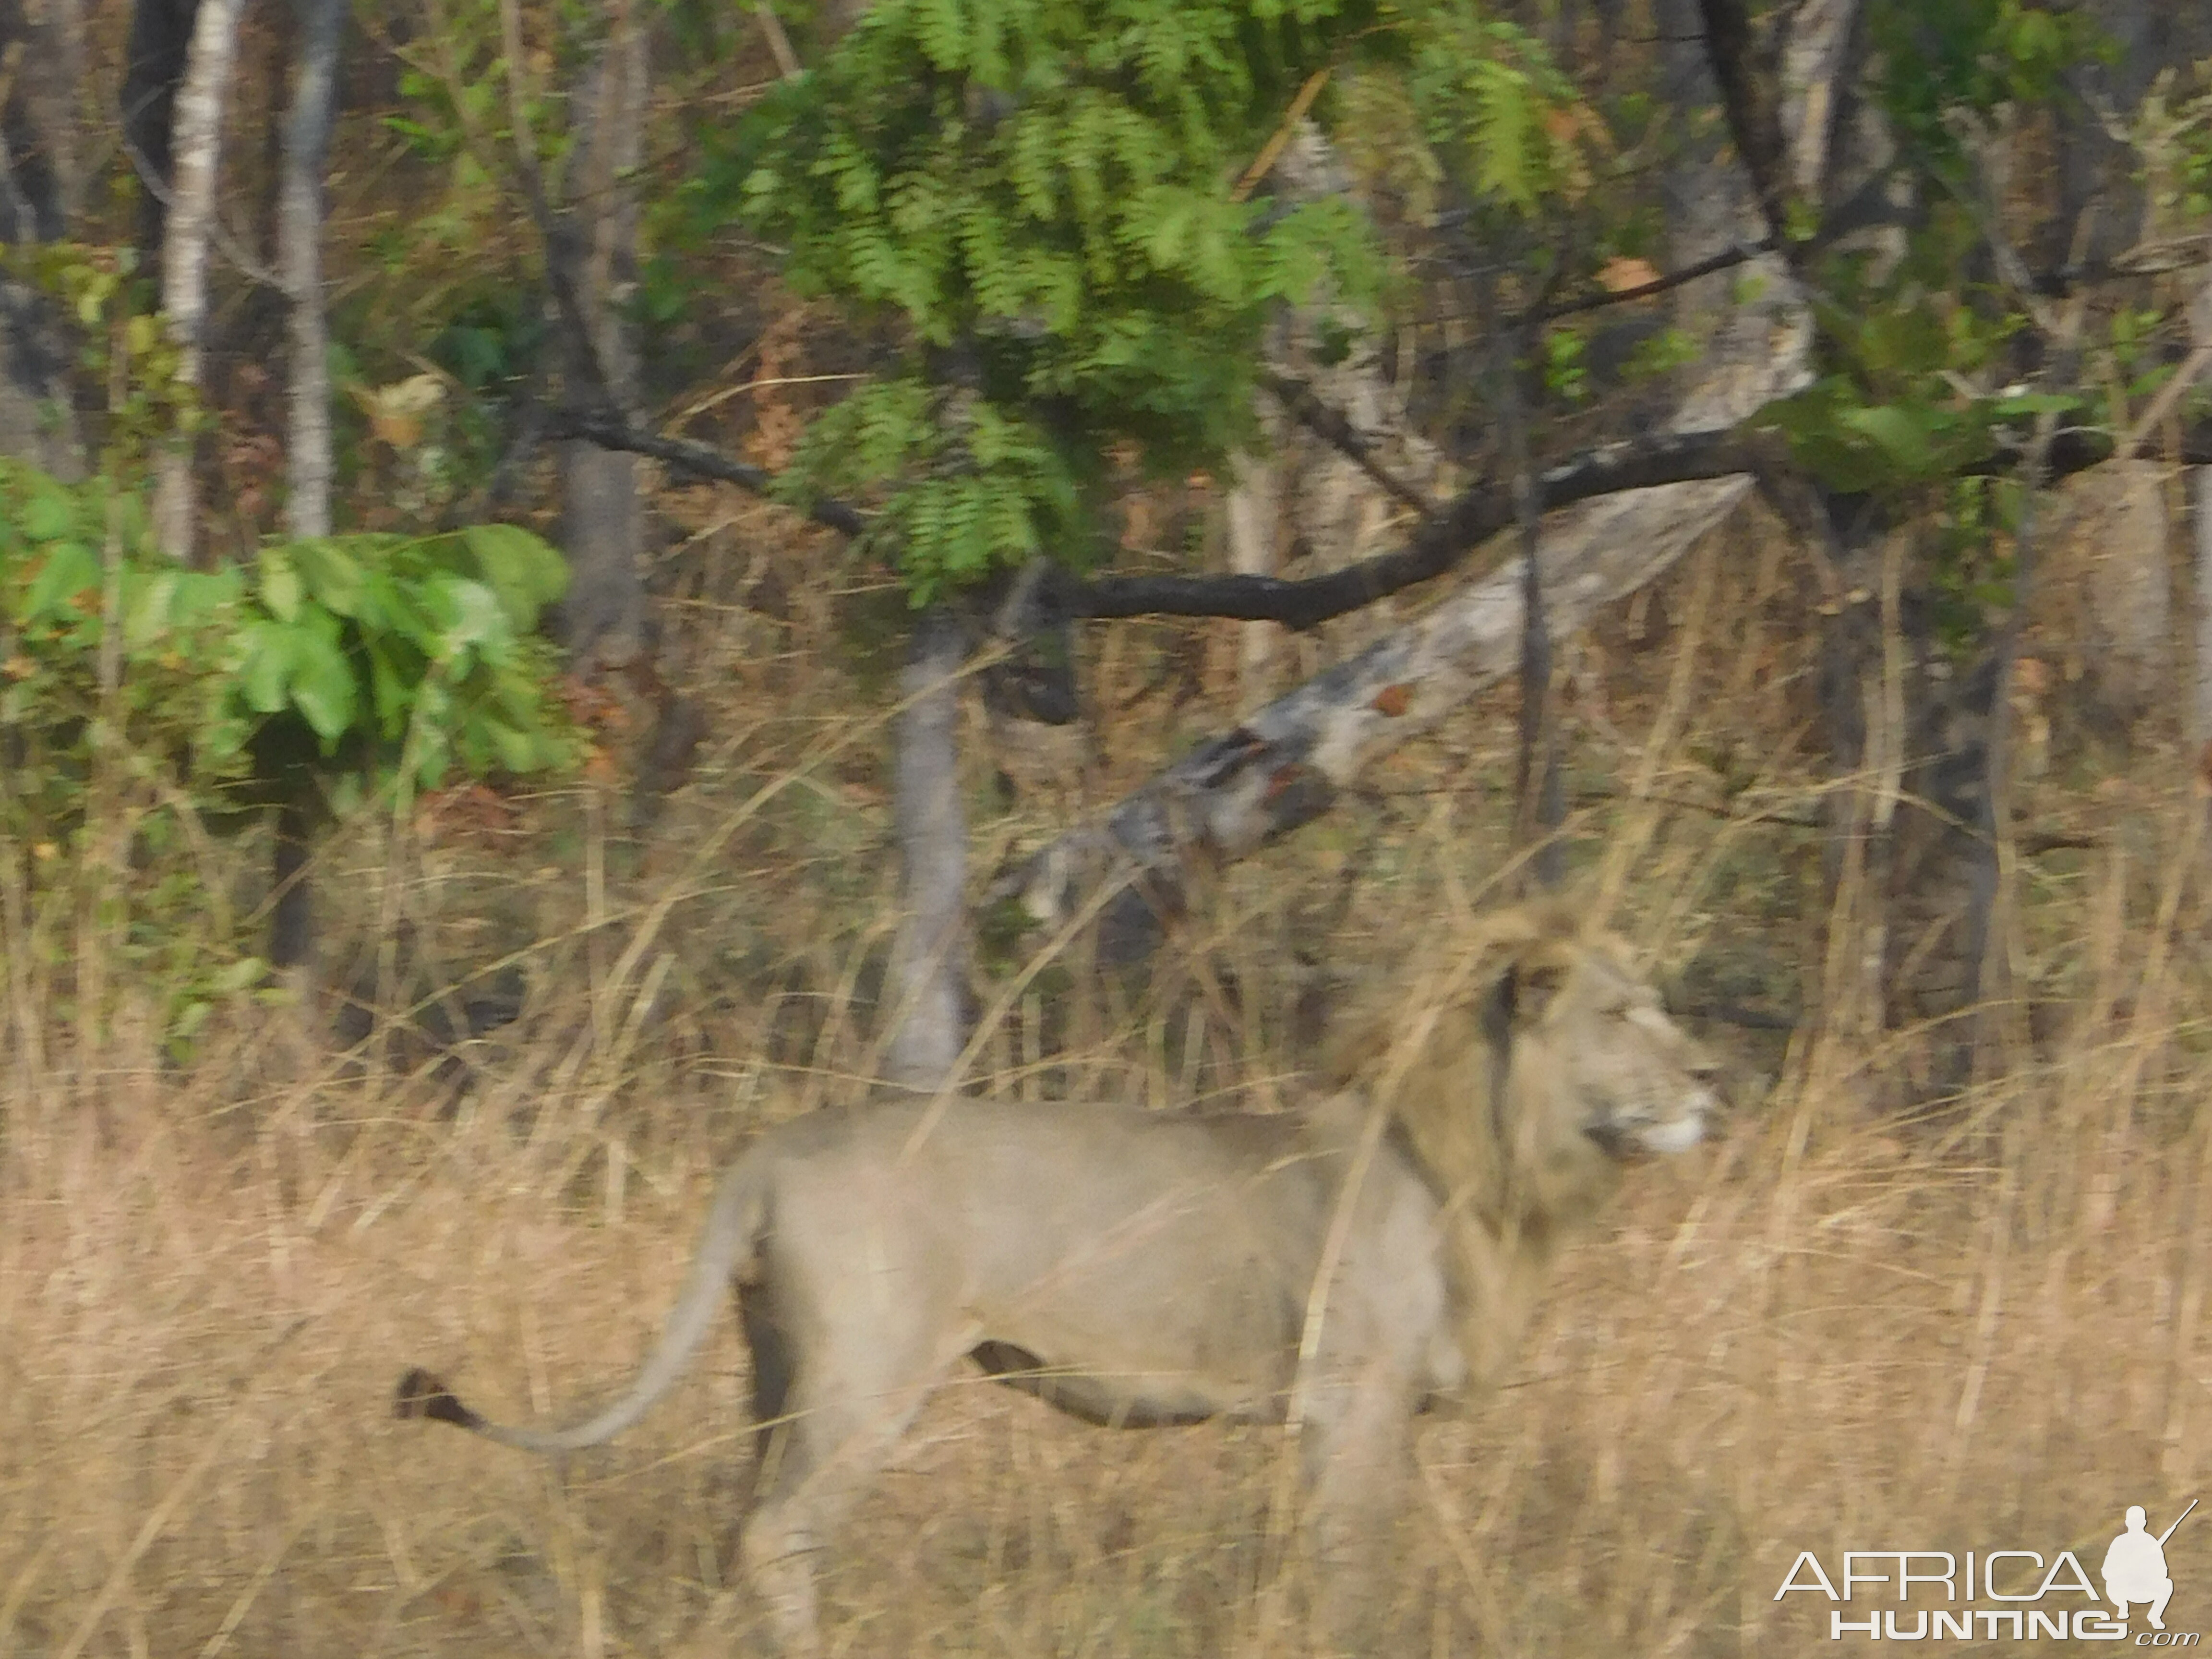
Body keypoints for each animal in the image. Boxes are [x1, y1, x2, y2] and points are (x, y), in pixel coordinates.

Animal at [398, 902, 1716, 1654]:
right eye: (1622, 1015)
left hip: (771, 1364)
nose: (1712, 1075)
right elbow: (1354, 1565)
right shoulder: (1353, 1396)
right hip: (868, 1370)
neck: (1495, 1165)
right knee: (779, 1531)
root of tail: (772, 1147)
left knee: (742, 1522)